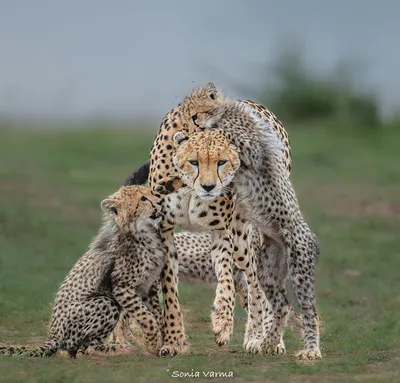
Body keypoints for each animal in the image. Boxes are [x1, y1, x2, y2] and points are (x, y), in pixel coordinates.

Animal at [0, 187, 164, 360]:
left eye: (151, 192)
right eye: (143, 199)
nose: (160, 202)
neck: (143, 232)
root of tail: (52, 334)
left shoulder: (146, 288)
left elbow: (156, 314)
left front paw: (161, 341)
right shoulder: (122, 288)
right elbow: (146, 317)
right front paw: (153, 344)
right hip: (105, 302)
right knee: (85, 349)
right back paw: (119, 349)